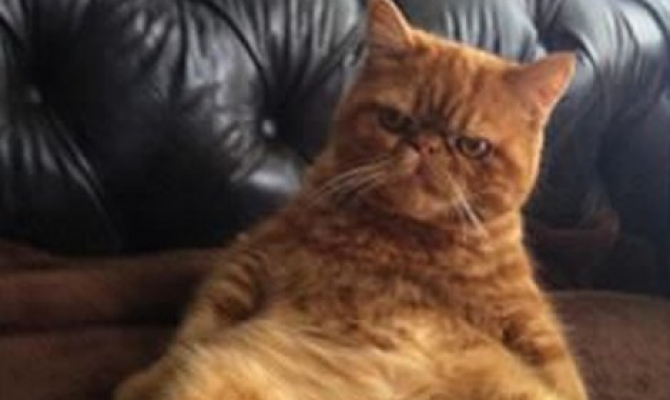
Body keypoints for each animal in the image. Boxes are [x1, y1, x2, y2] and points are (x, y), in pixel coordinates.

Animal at [115, 0, 587, 399]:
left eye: (472, 146)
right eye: (394, 120)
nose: (426, 146)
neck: (405, 240)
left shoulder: (526, 318)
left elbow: (562, 374)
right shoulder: (254, 254)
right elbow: (198, 326)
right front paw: (148, 380)